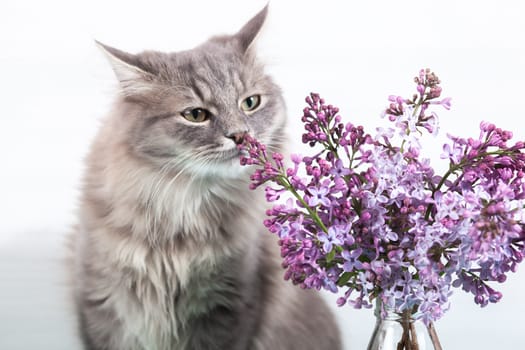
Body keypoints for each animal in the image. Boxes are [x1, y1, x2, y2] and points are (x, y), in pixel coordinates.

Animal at [69, 5, 342, 350]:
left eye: (250, 103)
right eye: (195, 115)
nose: (240, 136)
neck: (182, 210)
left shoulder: (229, 306)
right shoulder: (101, 306)